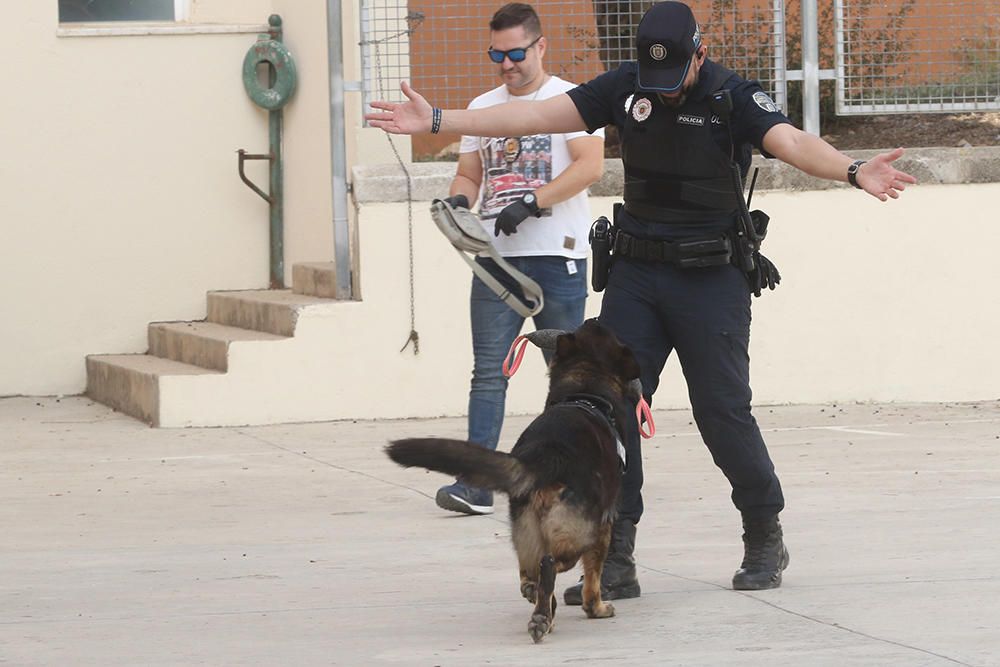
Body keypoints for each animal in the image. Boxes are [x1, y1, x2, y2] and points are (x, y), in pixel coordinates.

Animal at [384, 320, 640, 644]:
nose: (593, 319)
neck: (586, 392)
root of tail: (548, 456)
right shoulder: (604, 527)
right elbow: (593, 578)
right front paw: (596, 608)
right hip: (581, 533)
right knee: (549, 566)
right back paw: (543, 614)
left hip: (526, 529)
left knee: (529, 575)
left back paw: (540, 609)